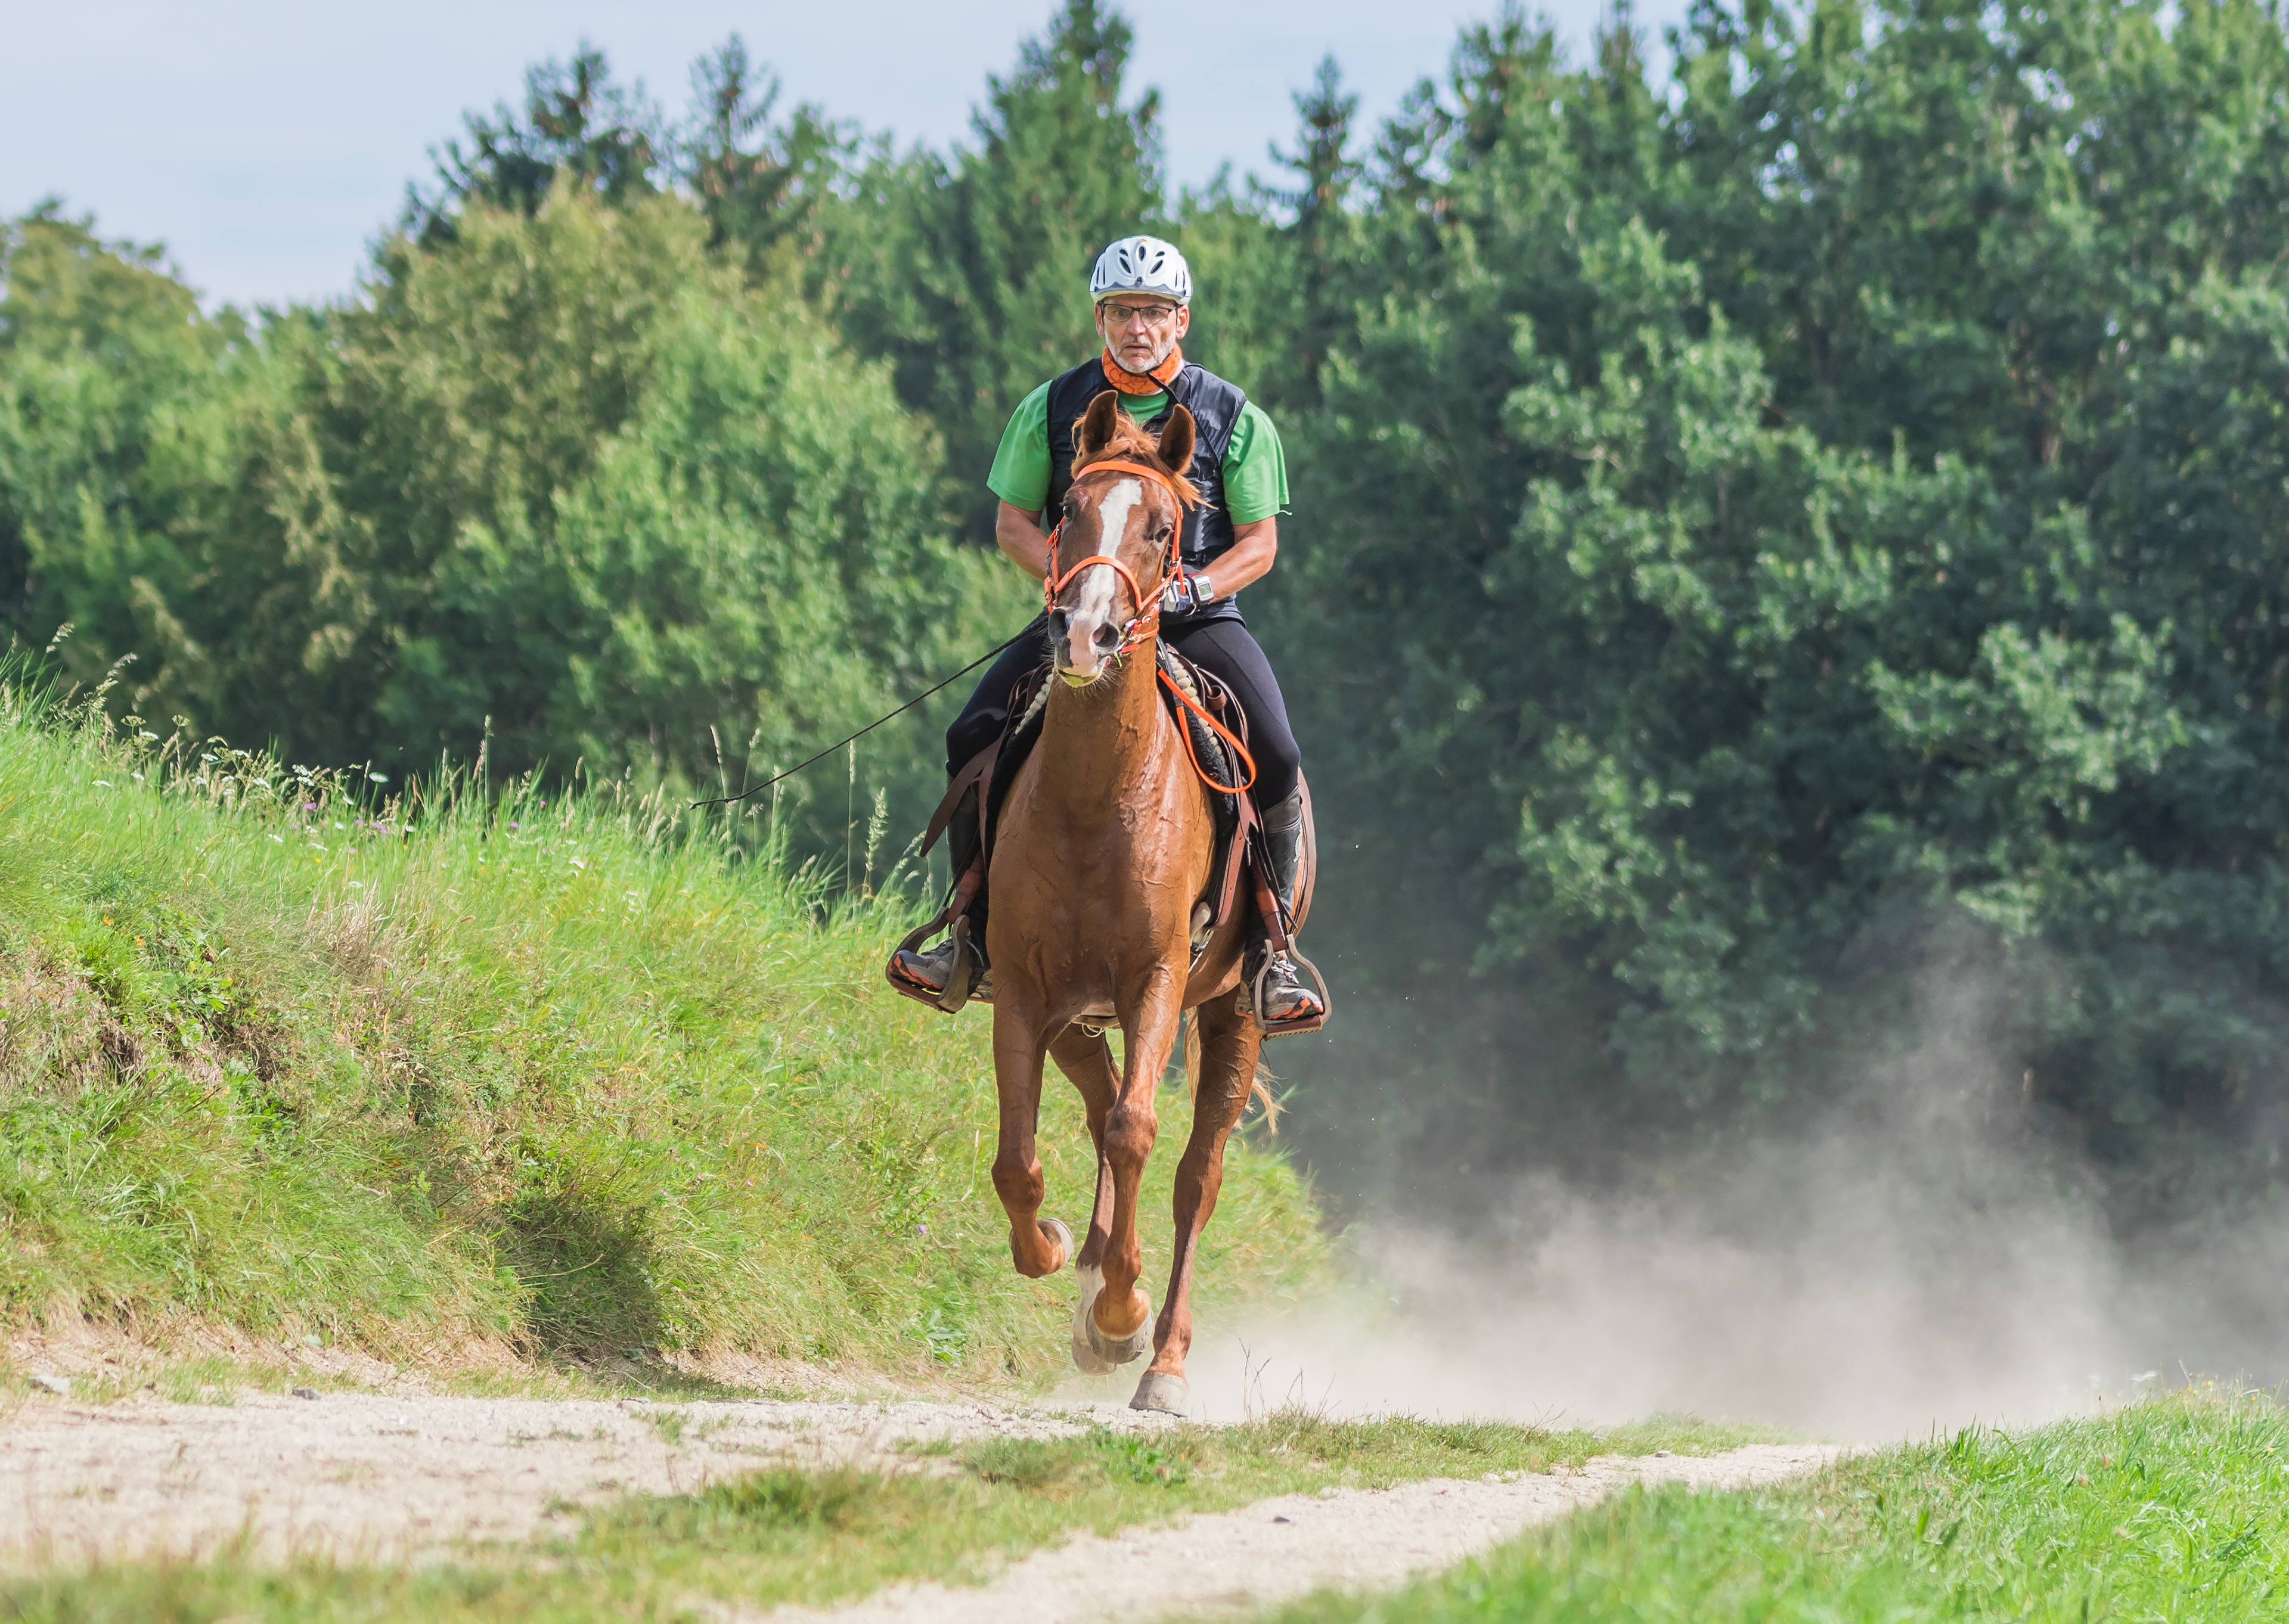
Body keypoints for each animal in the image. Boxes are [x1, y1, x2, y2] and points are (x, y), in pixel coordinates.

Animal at [979, 389, 1309, 1418]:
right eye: (1067, 511)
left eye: (1164, 529)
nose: (1083, 632)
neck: (1099, 800)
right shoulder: (1023, 990)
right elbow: (1018, 1158)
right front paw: (1054, 1255)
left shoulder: (1157, 980)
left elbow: (1137, 1134)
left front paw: (1122, 1311)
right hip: (1077, 1014)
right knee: (1093, 1106)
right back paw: (1089, 1282)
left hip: (1232, 1015)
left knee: (1193, 1174)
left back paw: (1160, 1357)